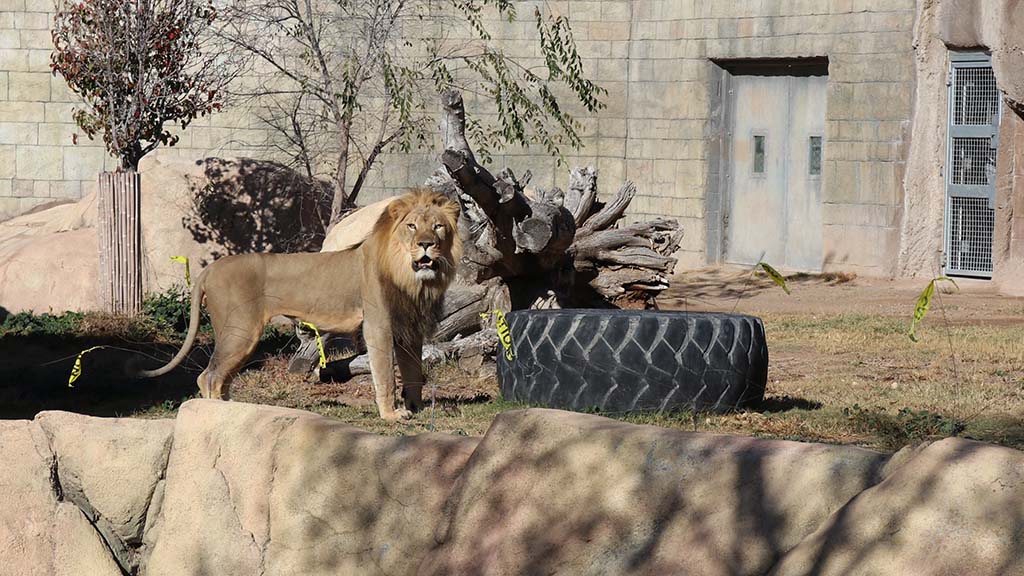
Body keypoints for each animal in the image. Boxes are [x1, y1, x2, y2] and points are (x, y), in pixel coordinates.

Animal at [138, 189, 461, 421]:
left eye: (438, 227)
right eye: (411, 226)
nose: (426, 244)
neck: (411, 276)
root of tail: (211, 268)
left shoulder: (409, 327)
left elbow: (413, 371)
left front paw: (417, 407)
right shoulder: (377, 325)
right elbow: (385, 373)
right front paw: (392, 415)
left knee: (219, 377)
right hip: (240, 330)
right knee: (209, 376)